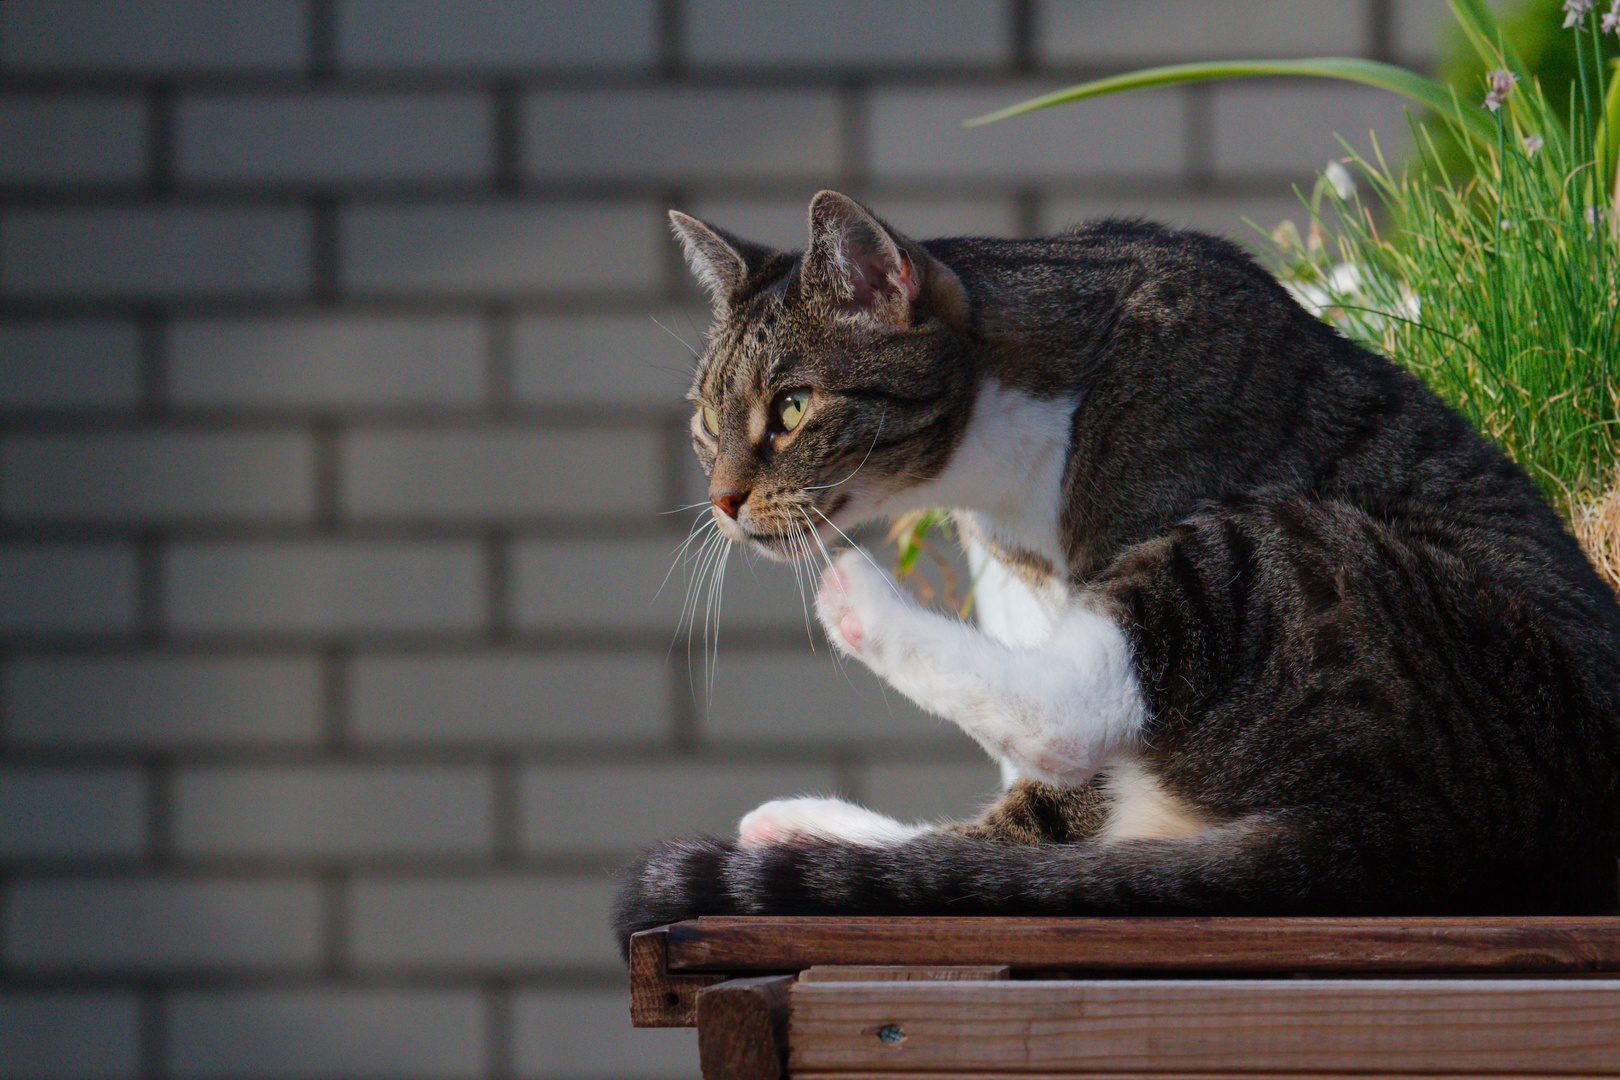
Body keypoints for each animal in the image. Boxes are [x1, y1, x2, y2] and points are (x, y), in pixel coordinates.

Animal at [609, 190, 1620, 952]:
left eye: (791, 407)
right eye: (706, 420)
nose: (721, 499)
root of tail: (1405, 837)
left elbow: (1053, 795)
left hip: (1286, 555)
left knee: (1073, 723)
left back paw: (856, 599)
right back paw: (806, 824)